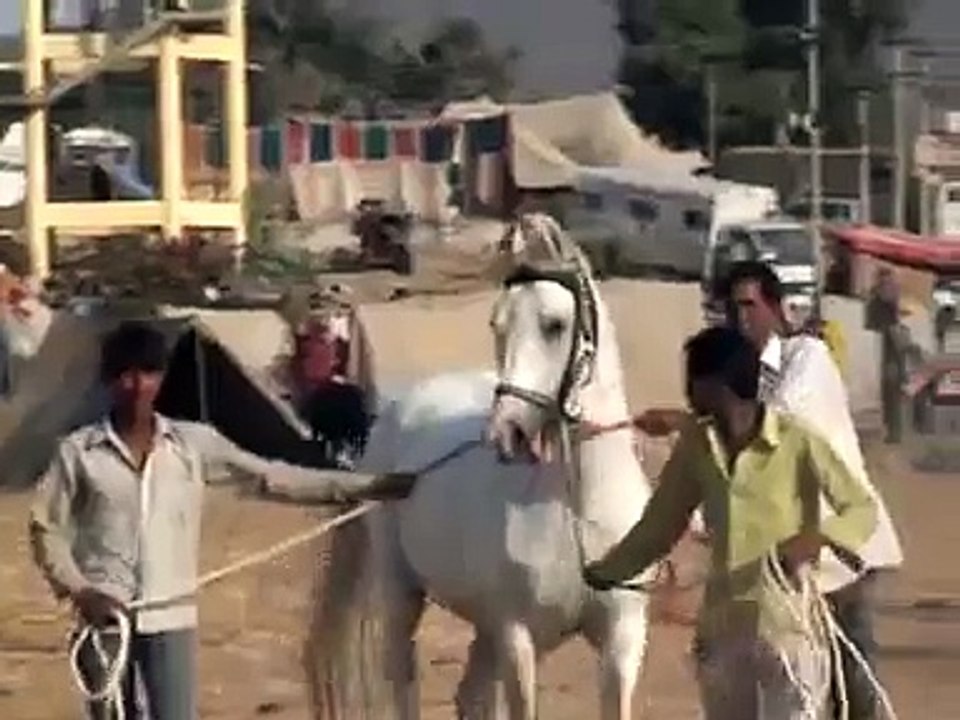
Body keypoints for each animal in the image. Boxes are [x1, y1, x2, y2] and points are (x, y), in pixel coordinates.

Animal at [307, 214, 656, 719]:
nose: (507, 432)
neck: (576, 509)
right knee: (402, 672)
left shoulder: (621, 641)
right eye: (498, 325)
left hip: (484, 627)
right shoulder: (518, 636)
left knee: (469, 694)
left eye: (554, 325)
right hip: (402, 591)